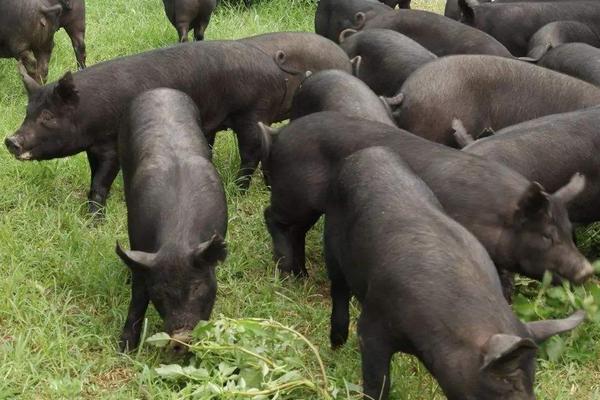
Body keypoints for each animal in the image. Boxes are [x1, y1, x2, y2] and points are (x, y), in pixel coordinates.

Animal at [3, 33, 352, 214]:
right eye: (27, 112)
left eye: (48, 117)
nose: (11, 140)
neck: (90, 113)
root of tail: (272, 64)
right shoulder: (93, 146)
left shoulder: (109, 141)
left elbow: (101, 181)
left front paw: (93, 219)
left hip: (252, 112)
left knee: (251, 152)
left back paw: (238, 191)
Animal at [115, 88, 227, 354]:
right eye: (160, 293)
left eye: (197, 287)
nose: (181, 336)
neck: (178, 235)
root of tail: (160, 90)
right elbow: (137, 296)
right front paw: (124, 348)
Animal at [260, 113, 592, 294]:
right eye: (546, 236)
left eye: (569, 232)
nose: (587, 270)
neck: (493, 215)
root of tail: (279, 135)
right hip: (292, 193)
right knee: (273, 218)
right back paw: (286, 274)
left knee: (297, 231)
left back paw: (301, 275)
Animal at [324, 146, 584, 400]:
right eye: (507, 381)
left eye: (533, 378)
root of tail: (367, 151)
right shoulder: (373, 322)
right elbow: (377, 381)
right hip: (331, 240)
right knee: (338, 288)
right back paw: (336, 344)